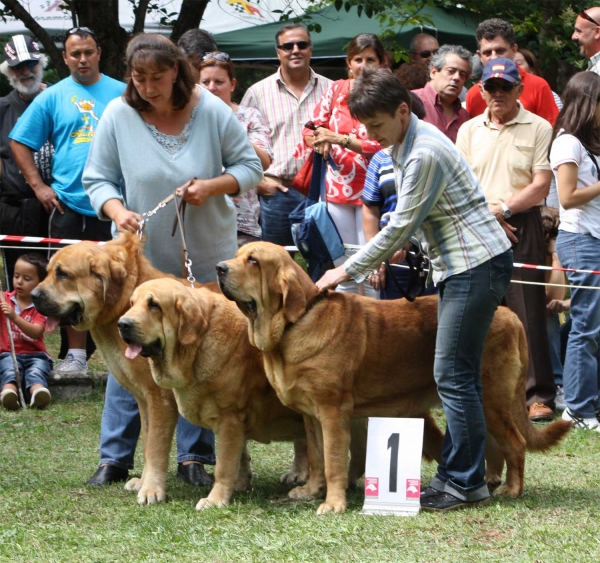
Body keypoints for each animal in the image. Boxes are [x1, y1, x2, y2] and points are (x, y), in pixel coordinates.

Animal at [117, 278, 368, 512]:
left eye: (154, 305)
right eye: (131, 304)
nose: (122, 324)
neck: (198, 344)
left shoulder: (227, 419)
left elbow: (217, 464)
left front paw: (211, 499)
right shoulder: (233, 422)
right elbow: (239, 457)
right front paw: (240, 483)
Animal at [216, 242, 572, 516]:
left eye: (253, 261)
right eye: (238, 255)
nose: (219, 267)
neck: (297, 320)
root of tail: (510, 315)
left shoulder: (332, 412)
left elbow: (333, 460)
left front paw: (332, 503)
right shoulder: (311, 415)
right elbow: (317, 457)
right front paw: (311, 490)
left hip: (493, 400)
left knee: (515, 443)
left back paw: (511, 488)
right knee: (493, 444)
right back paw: (491, 481)